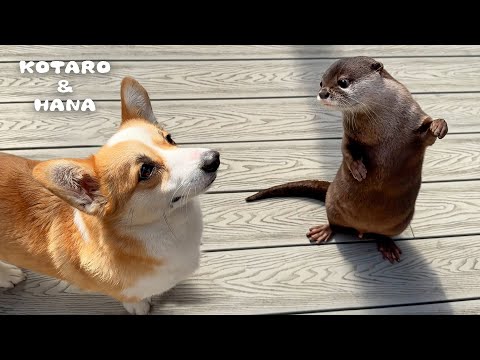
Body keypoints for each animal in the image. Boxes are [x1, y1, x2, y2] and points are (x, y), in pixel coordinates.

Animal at [246, 57, 448, 264]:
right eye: (321, 82)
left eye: (343, 82)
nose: (323, 93)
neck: (384, 127)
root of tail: (363, 229)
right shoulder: (349, 133)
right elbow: (346, 149)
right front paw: (358, 170)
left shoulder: (414, 120)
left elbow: (429, 135)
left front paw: (439, 126)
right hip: (332, 205)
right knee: (335, 223)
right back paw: (324, 231)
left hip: (399, 224)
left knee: (382, 234)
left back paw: (387, 245)